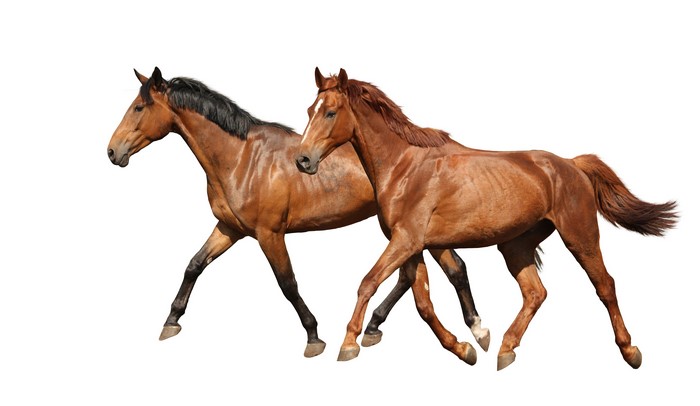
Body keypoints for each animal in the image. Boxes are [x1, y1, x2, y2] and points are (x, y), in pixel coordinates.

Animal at [107, 67, 491, 360]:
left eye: (139, 107)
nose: (112, 151)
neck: (242, 159)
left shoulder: (269, 233)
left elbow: (287, 283)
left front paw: (314, 337)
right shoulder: (229, 228)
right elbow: (194, 265)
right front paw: (171, 321)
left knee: (450, 269)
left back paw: (471, 331)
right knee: (416, 276)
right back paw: (379, 327)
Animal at [295, 67, 678, 370]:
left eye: (330, 113)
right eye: (310, 110)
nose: (303, 160)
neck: (404, 166)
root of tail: (572, 164)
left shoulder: (406, 241)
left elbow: (369, 282)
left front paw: (348, 344)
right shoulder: (413, 245)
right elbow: (423, 304)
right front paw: (464, 348)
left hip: (579, 236)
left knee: (605, 286)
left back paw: (630, 351)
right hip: (515, 246)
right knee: (535, 293)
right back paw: (506, 349)